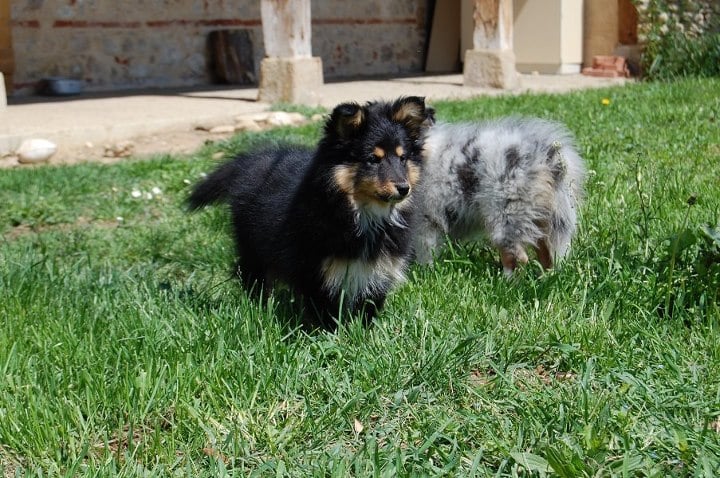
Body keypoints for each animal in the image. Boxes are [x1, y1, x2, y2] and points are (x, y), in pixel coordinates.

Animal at [188, 96, 432, 328]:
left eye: (402, 158)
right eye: (373, 159)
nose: (404, 188)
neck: (364, 214)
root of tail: (251, 161)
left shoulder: (377, 270)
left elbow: (368, 307)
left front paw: (363, 333)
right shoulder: (316, 272)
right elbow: (325, 313)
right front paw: (332, 336)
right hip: (251, 246)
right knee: (252, 277)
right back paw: (257, 308)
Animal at [414, 117, 586, 275]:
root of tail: (548, 155)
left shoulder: (426, 222)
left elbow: (425, 251)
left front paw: (424, 272)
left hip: (505, 214)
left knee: (517, 256)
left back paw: (507, 282)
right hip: (544, 218)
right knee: (547, 254)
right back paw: (545, 277)